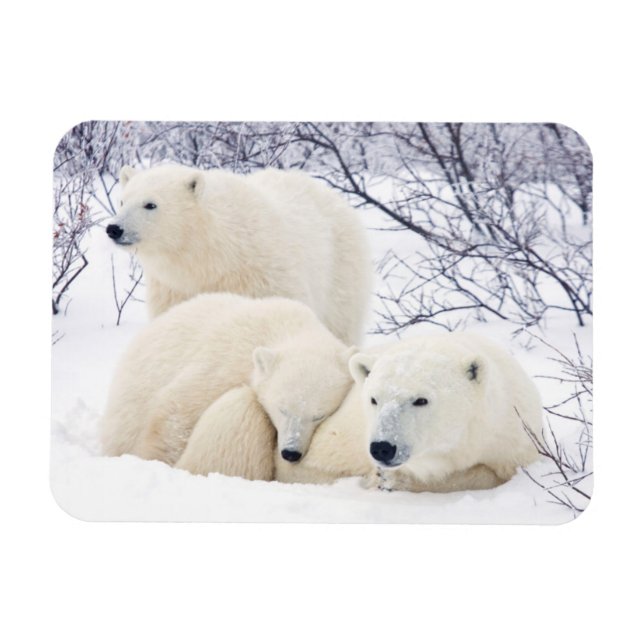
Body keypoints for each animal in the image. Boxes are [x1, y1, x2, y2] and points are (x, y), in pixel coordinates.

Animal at [105, 163, 372, 345]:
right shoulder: (174, 289)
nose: (114, 229)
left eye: (150, 204)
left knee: (342, 325)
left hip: (340, 269)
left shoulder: (264, 278)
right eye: (122, 201)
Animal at [176, 333, 542, 493]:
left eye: (420, 400)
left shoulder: (512, 436)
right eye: (374, 399)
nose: (382, 448)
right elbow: (311, 469)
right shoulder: (344, 435)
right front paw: (378, 479)